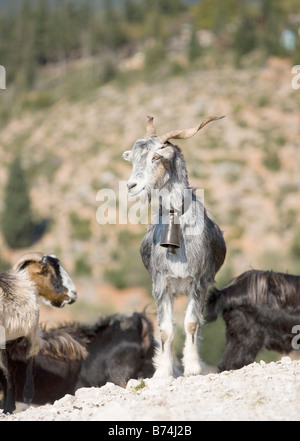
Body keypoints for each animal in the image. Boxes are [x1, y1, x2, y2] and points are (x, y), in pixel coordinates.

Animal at [0, 251, 77, 412]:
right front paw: (8, 407)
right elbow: (7, 373)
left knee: (29, 360)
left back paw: (26, 396)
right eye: (48, 271)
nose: (73, 294)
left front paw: (11, 406)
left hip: (31, 332)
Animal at [123, 115, 226, 376]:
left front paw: (192, 368)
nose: (131, 186)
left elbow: (191, 324)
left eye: (156, 157)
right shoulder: (161, 284)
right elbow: (165, 329)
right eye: (134, 158)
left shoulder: (198, 281)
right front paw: (163, 371)